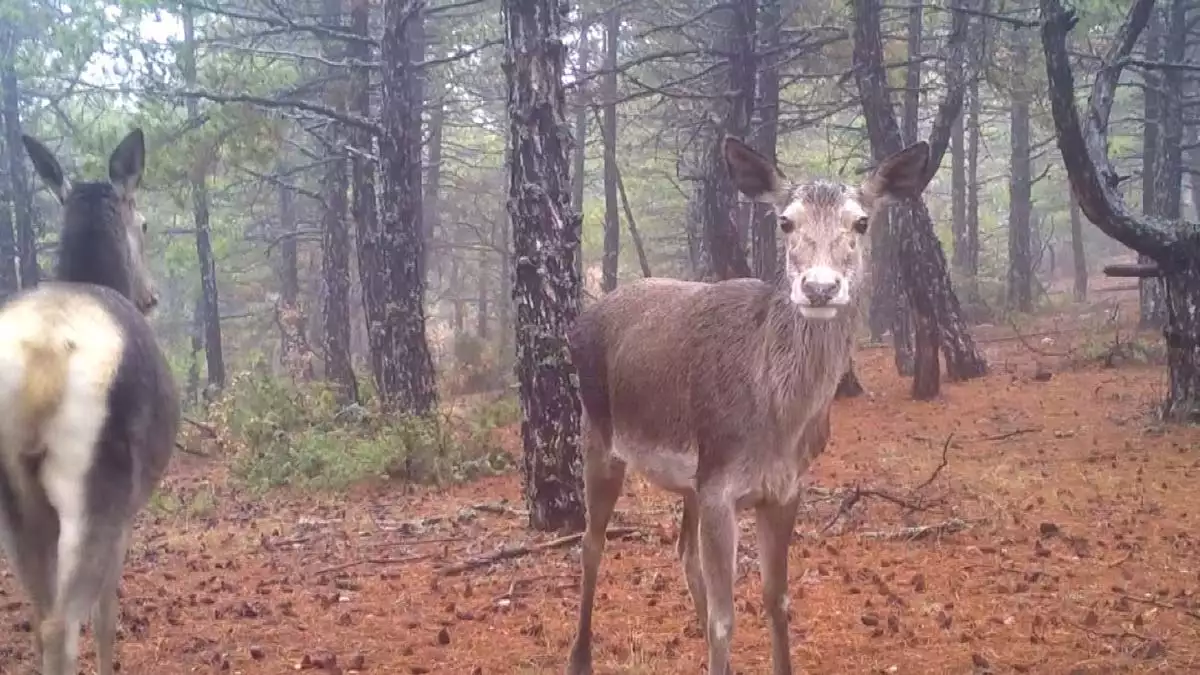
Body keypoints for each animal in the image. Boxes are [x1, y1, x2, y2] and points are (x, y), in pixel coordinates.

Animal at [0, 130, 180, 672]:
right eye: (143, 222)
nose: (152, 295)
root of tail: (40, 364)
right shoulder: (128, 512)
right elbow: (108, 614)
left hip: (16, 506)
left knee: (40, 619)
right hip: (97, 485)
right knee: (62, 624)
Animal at [566, 136, 931, 672]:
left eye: (862, 222)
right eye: (785, 221)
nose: (819, 287)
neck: (778, 419)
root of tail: (582, 320)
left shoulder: (782, 487)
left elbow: (776, 599)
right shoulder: (721, 484)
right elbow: (726, 620)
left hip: (690, 479)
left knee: (682, 552)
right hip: (598, 431)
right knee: (591, 544)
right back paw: (580, 656)